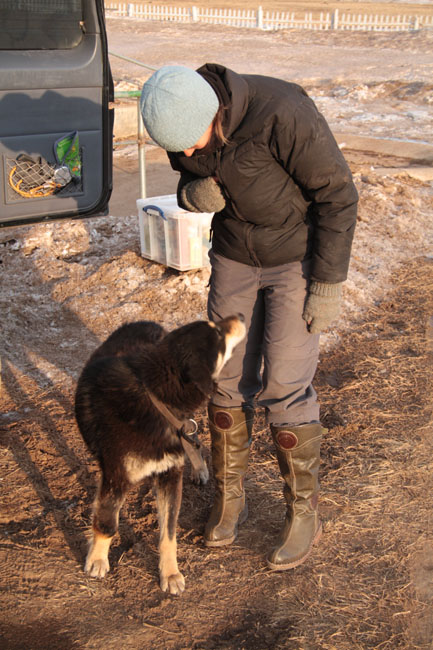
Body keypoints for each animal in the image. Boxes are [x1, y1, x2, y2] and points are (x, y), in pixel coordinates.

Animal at [75, 315, 246, 595]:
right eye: (219, 335)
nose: (241, 316)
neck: (153, 398)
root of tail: (143, 321)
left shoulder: (170, 475)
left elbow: (168, 533)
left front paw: (170, 573)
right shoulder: (115, 477)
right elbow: (108, 522)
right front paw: (97, 559)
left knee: (192, 441)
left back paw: (199, 468)